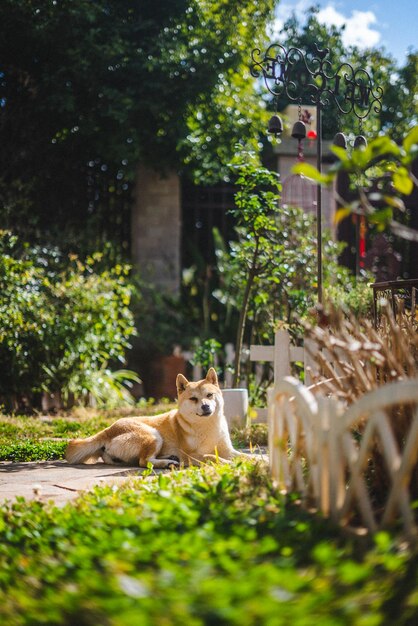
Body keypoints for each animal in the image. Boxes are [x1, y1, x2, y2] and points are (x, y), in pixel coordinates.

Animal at [64, 368, 242, 466]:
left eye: (209, 395)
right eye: (193, 399)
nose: (205, 407)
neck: (207, 426)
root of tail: (108, 429)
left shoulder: (228, 450)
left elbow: (243, 455)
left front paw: (246, 461)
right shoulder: (190, 455)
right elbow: (212, 456)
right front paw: (230, 464)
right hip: (153, 435)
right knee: (144, 461)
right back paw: (167, 463)